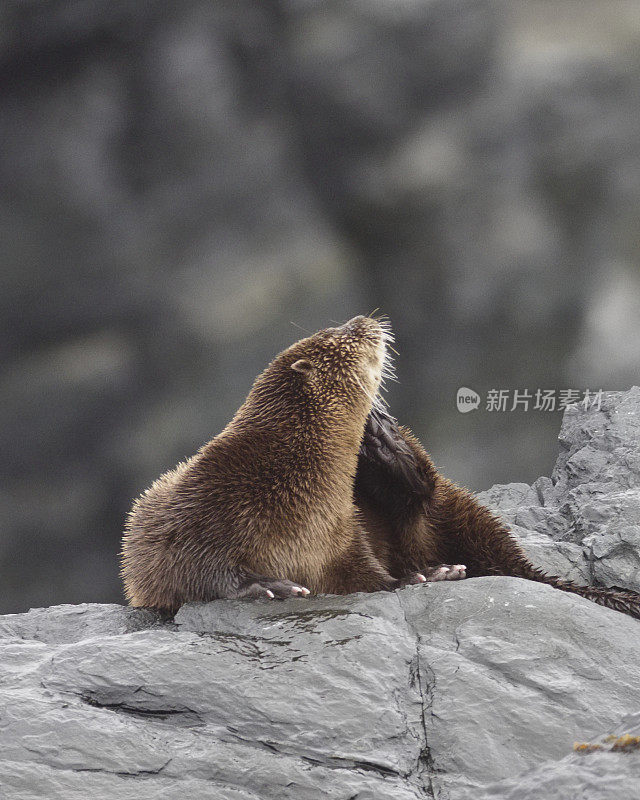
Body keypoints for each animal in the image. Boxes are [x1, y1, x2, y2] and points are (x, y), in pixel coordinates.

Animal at [122, 318, 640, 620]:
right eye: (339, 335)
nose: (362, 318)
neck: (284, 473)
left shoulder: (341, 530)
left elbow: (371, 574)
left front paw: (424, 577)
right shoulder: (190, 507)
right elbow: (180, 564)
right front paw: (265, 586)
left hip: (453, 505)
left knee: (439, 504)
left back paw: (390, 454)